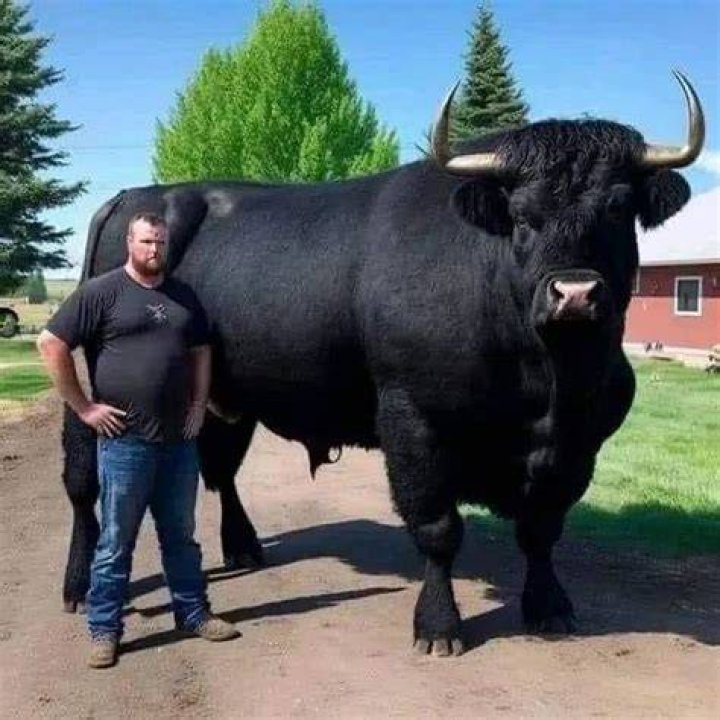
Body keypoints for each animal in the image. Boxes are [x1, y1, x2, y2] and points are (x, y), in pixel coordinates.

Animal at [59, 71, 704, 656]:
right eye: (522, 216)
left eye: (619, 210)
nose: (575, 293)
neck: (547, 384)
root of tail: (136, 195)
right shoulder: (413, 420)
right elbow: (439, 528)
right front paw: (439, 625)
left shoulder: (578, 443)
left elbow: (542, 529)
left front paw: (549, 607)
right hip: (93, 385)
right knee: (85, 483)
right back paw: (78, 584)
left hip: (223, 395)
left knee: (218, 470)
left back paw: (243, 547)